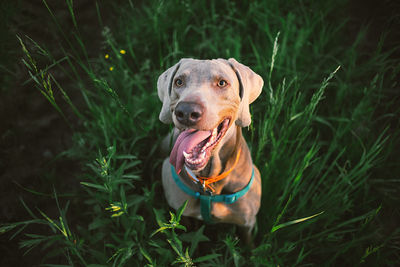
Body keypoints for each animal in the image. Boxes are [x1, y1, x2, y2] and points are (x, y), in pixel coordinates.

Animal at [158, 58, 264, 243]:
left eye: (222, 83)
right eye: (179, 81)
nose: (186, 111)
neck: (209, 182)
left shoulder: (247, 224)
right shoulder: (182, 214)